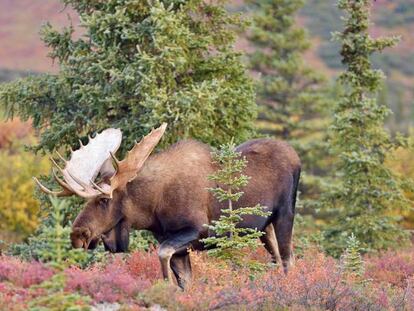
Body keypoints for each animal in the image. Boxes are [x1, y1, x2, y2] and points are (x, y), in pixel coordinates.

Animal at [34, 123, 300, 288]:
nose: (77, 235)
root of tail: (296, 156)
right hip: (262, 227)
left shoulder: (197, 230)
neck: (153, 209)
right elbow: (185, 280)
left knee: (288, 259)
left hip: (285, 213)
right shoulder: (175, 243)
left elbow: (162, 255)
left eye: (104, 199)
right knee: (277, 258)